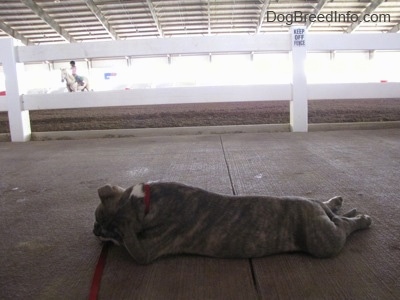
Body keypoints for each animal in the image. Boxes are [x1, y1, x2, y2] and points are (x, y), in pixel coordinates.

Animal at [93, 182, 372, 264]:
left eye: (111, 234)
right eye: (96, 217)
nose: (95, 231)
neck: (142, 202)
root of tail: (317, 209)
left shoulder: (146, 252)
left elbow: (136, 249)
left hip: (324, 242)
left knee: (345, 228)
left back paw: (362, 219)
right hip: (318, 213)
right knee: (334, 212)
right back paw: (336, 203)